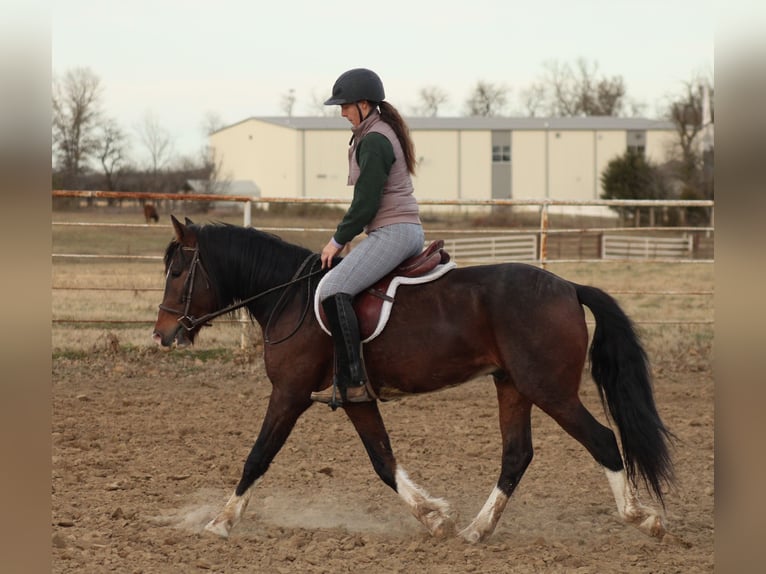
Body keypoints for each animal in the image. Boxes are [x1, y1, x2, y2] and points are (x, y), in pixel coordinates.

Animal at [152, 215, 675, 543]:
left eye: (177, 272)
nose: (161, 334)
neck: (292, 297)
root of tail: (569, 286)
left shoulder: (289, 394)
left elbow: (257, 457)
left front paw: (221, 522)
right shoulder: (357, 400)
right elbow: (383, 462)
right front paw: (435, 518)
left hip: (550, 389)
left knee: (603, 440)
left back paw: (642, 519)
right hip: (513, 386)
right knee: (516, 455)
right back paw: (476, 530)